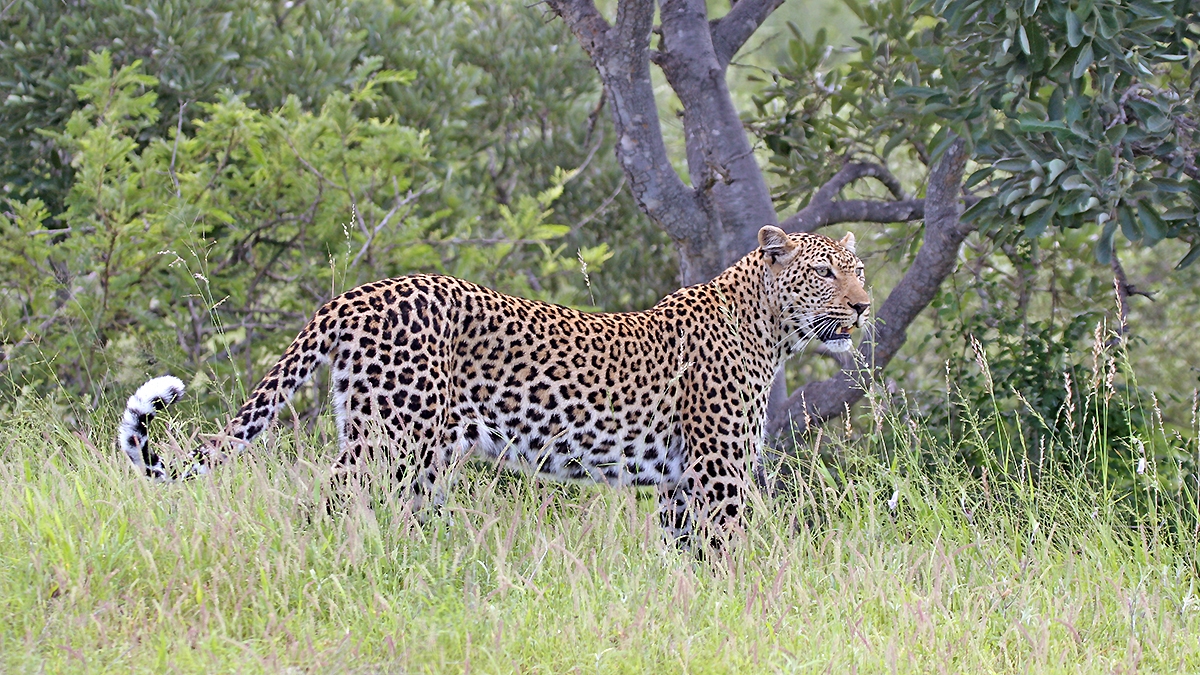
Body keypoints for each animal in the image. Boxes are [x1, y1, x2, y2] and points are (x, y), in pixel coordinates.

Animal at [116, 225, 869, 548]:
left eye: (857, 269)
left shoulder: (681, 481)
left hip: (407, 450)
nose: (863, 307)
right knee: (327, 507)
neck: (768, 327)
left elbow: (683, 555)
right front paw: (733, 605)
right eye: (825, 273)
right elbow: (725, 554)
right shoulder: (716, 472)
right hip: (392, 439)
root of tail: (358, 293)